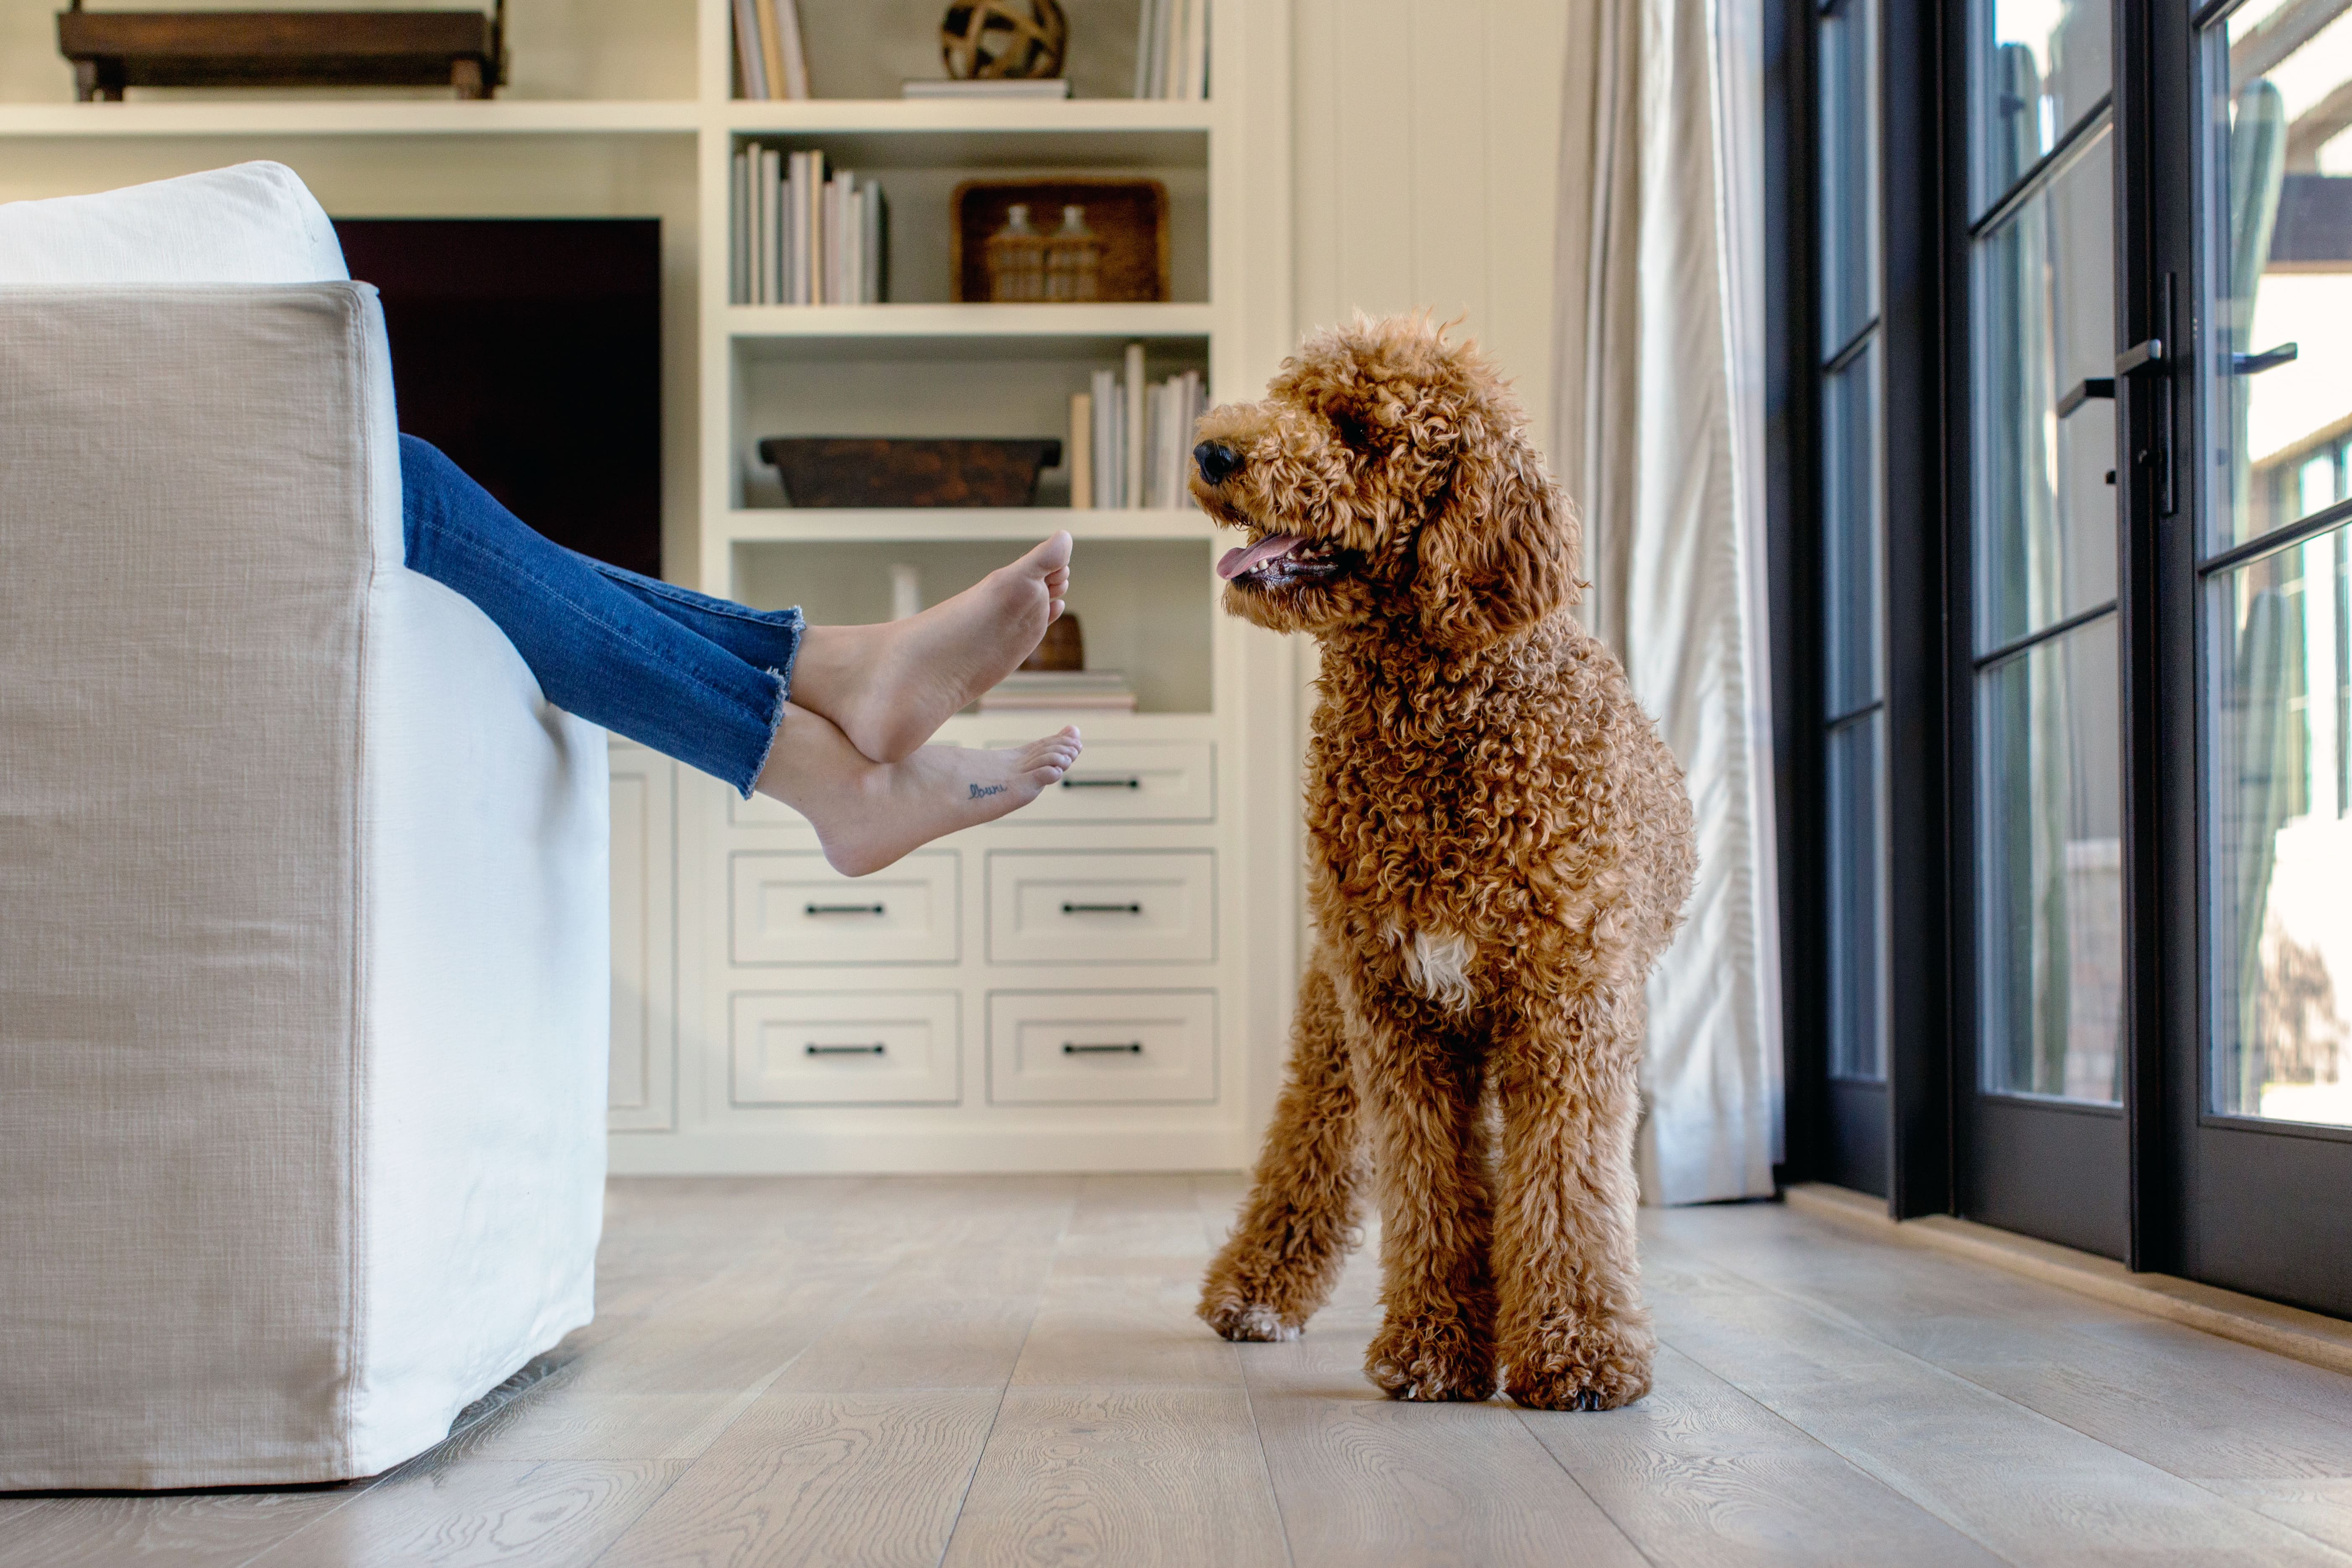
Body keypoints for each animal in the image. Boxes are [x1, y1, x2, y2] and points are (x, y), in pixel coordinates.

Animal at [1195, 315, 1693, 1410]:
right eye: (1286, 399)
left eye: (1356, 428)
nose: (1211, 451)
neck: (1442, 716)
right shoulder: (1398, 1012)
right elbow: (1426, 1189)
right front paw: (1432, 1347)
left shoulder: (1564, 1009)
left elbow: (1568, 1185)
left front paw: (1578, 1354)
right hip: (1334, 1009)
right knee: (1311, 1137)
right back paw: (1254, 1290)